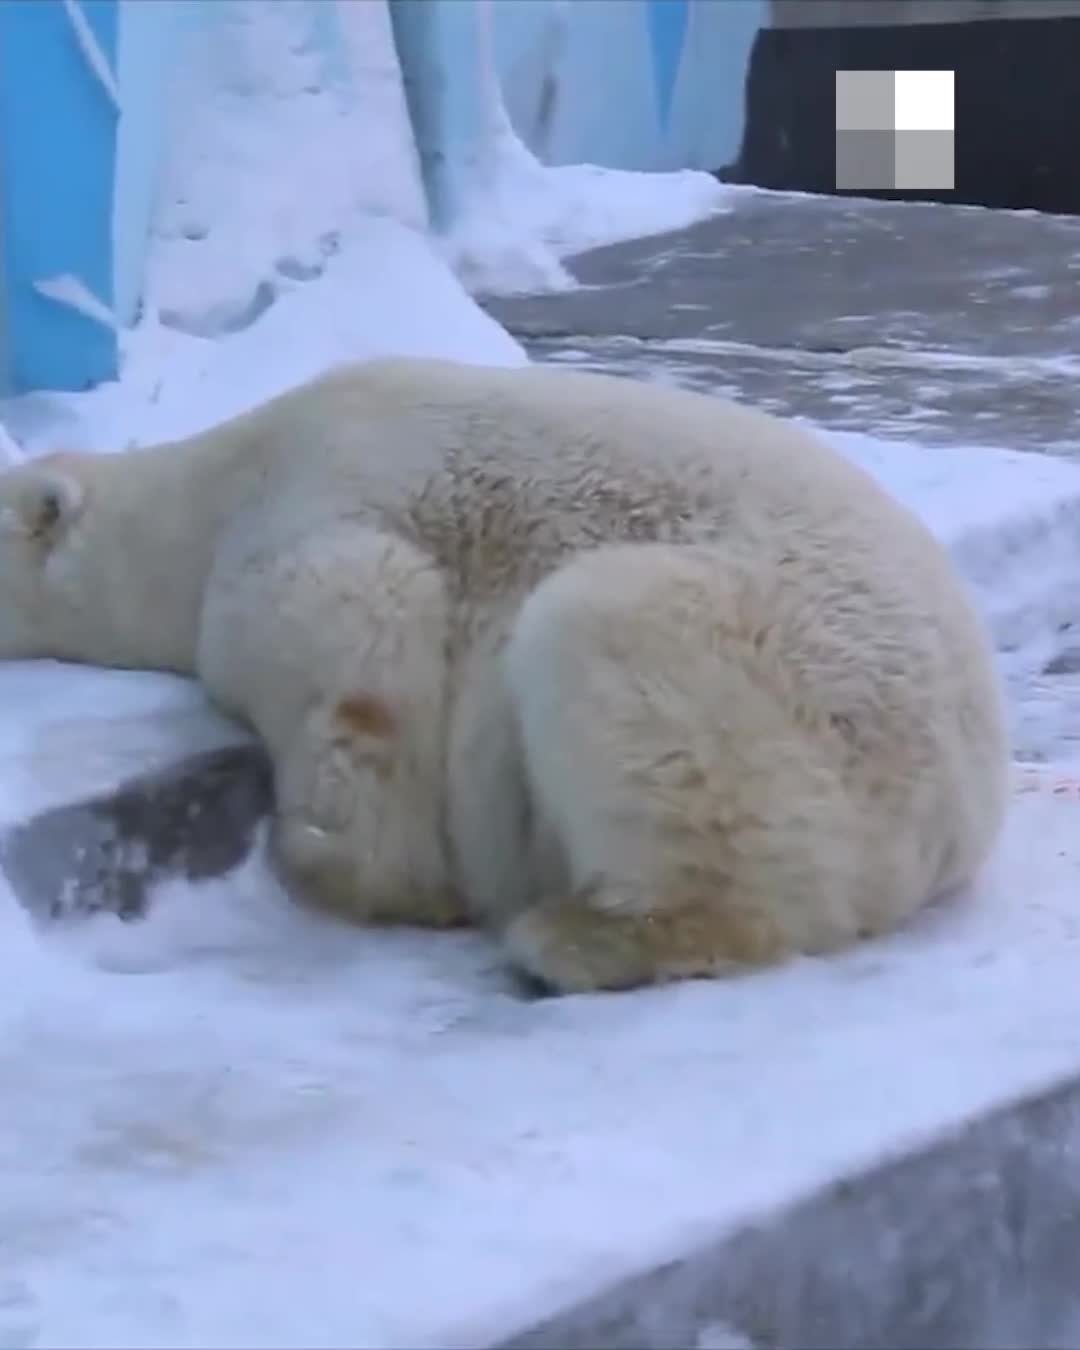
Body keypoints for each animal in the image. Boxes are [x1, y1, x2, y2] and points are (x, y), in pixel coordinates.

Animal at [0, 359, 1009, 993]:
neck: (215, 496)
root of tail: (965, 804)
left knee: (603, 642)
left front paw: (366, 873)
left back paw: (570, 939)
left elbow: (368, 643)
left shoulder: (316, 522)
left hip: (790, 689)